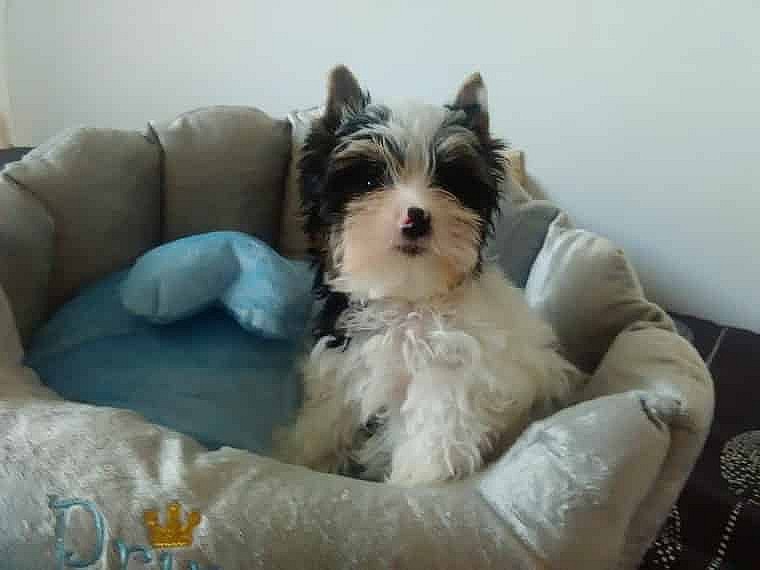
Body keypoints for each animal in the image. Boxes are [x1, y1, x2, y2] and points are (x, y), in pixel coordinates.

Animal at [277, 66, 581, 486]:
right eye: (369, 182)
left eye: (449, 182)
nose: (416, 217)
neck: (408, 296)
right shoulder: (345, 359)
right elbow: (327, 417)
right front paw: (301, 457)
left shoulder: (451, 378)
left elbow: (434, 439)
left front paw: (412, 485)